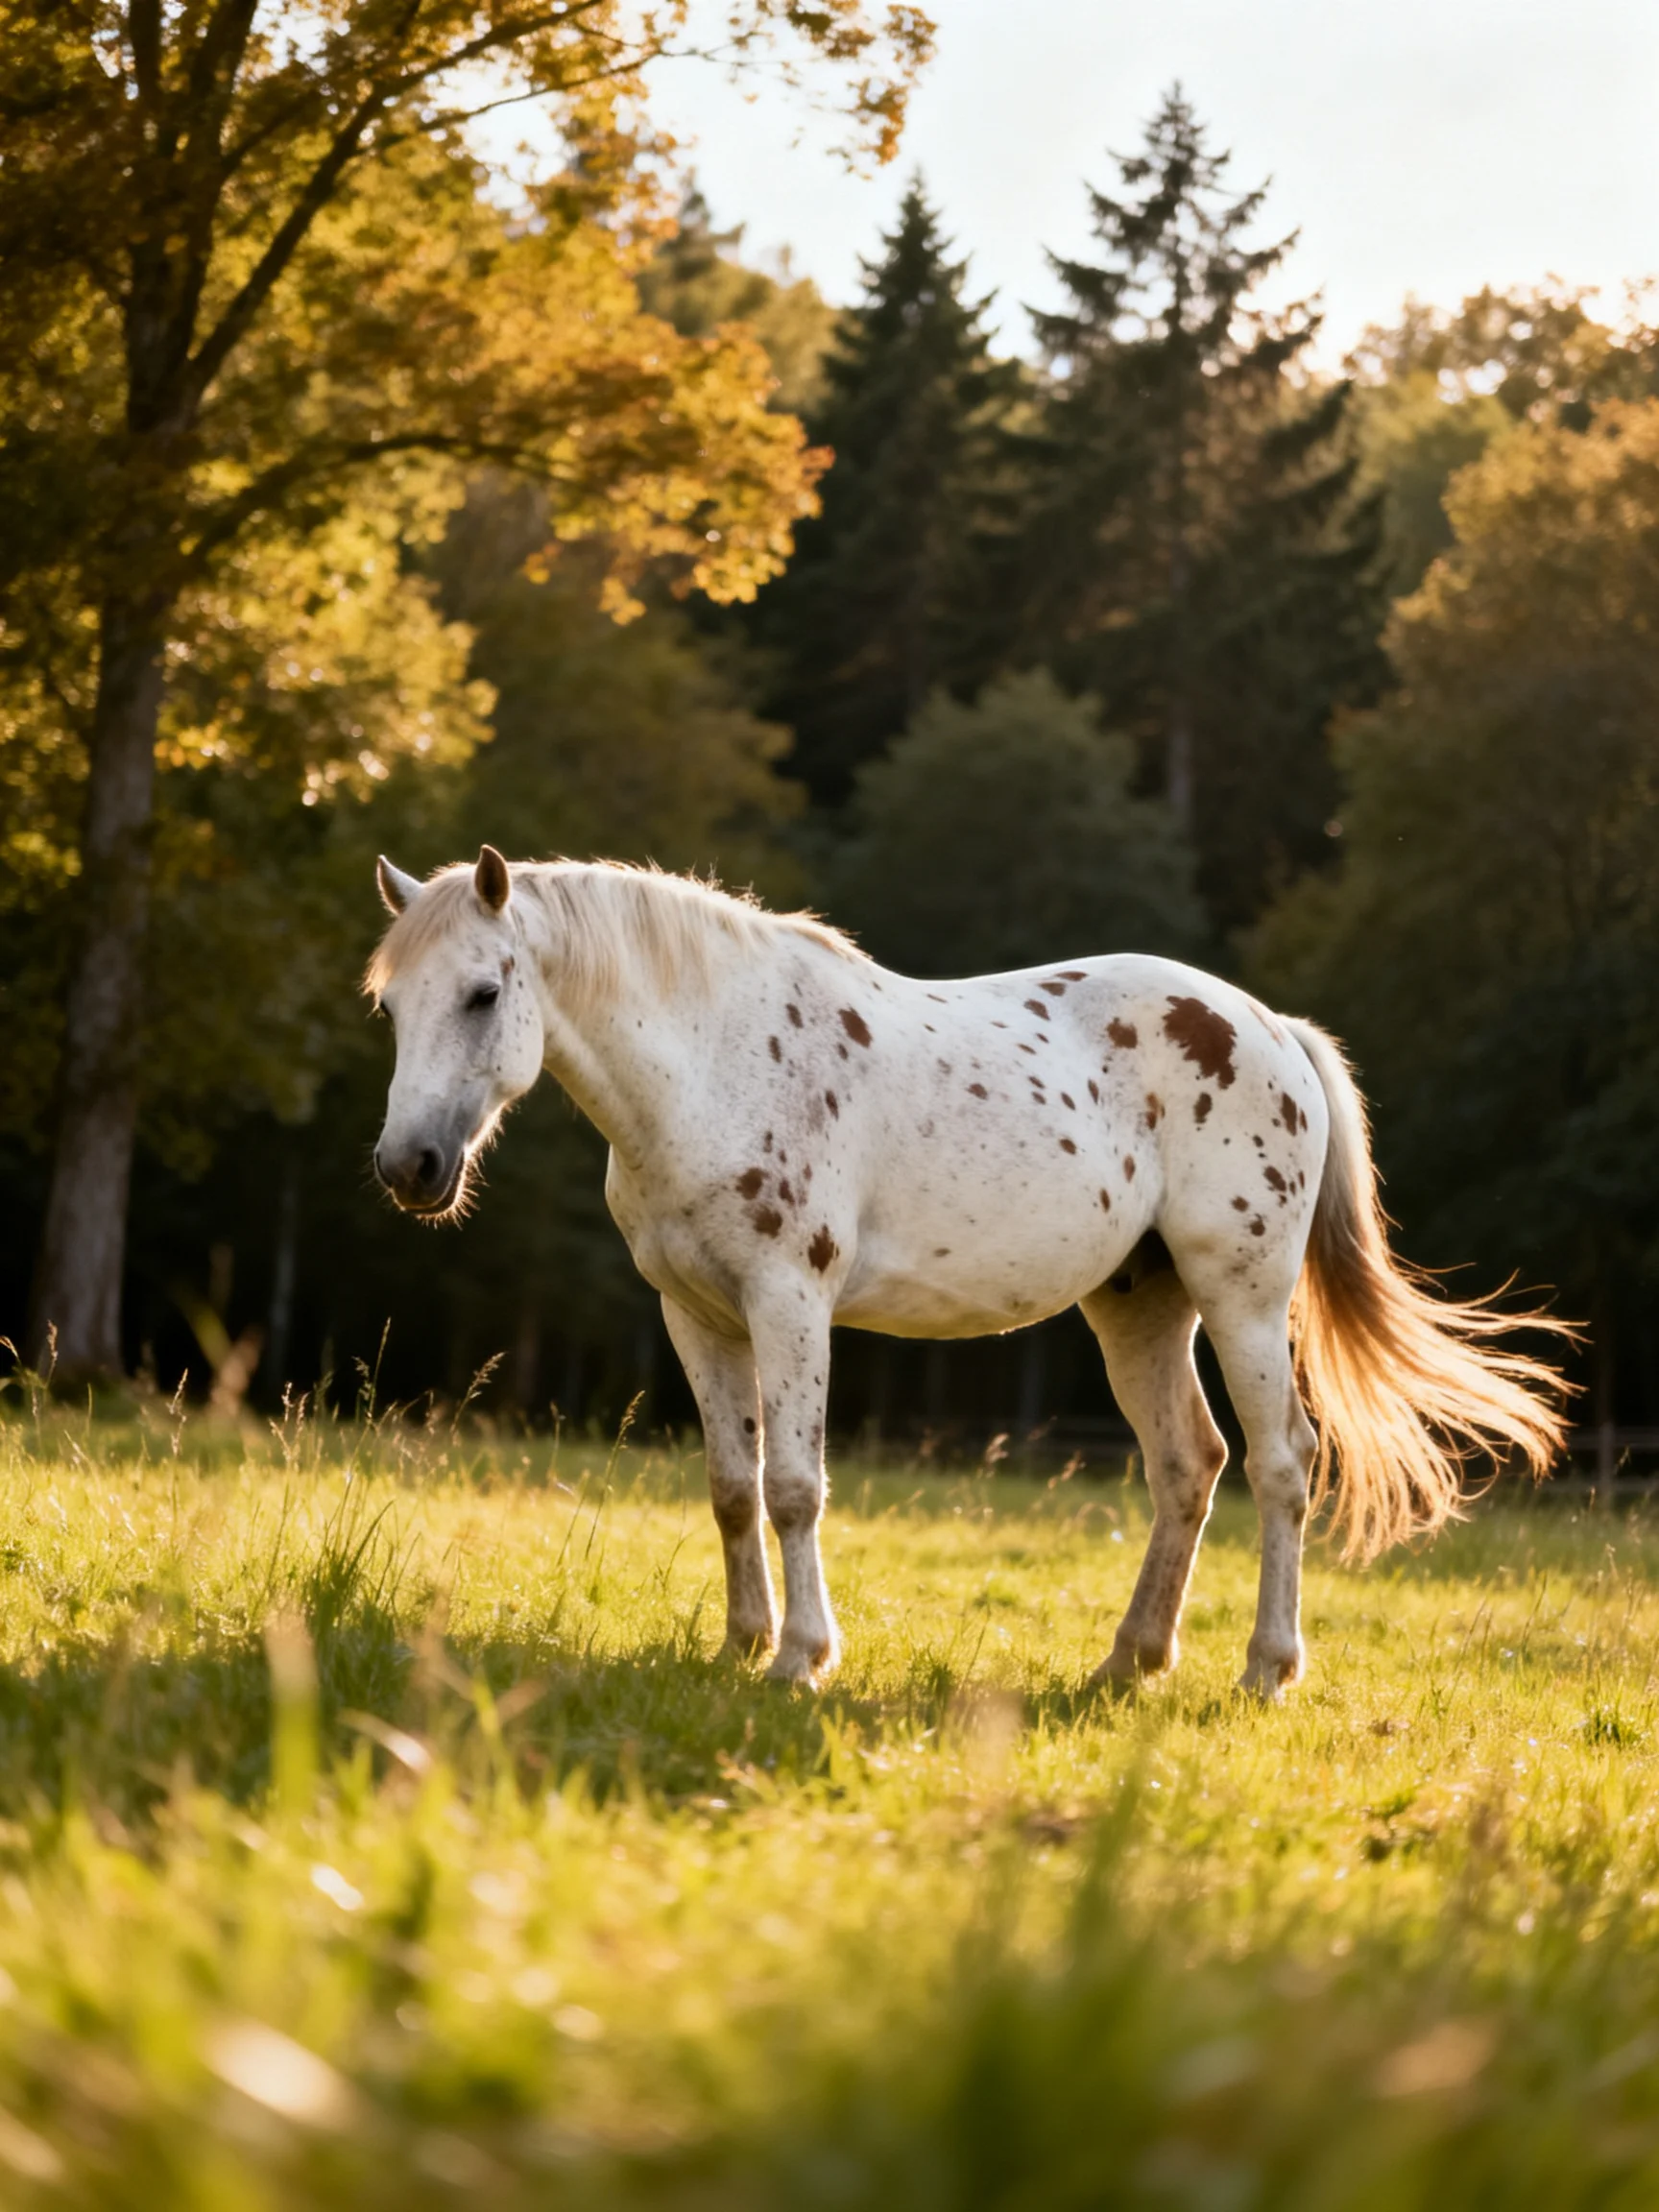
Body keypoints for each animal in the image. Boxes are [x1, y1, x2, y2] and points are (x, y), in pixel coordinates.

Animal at [366, 846, 1571, 1695]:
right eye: (391, 1004)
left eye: (482, 994)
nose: (407, 1166)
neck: (713, 1062)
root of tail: (1271, 1026)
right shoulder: (696, 1316)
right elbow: (730, 1488)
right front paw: (739, 1646)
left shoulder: (789, 1300)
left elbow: (795, 1487)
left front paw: (801, 1657)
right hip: (1139, 1306)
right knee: (1189, 1464)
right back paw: (1128, 1661)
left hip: (1243, 1296)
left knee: (1283, 1465)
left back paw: (1267, 1670)